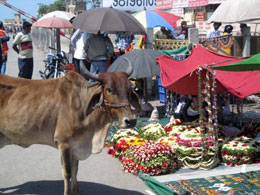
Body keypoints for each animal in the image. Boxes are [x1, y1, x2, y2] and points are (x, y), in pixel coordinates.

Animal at [0, 58, 141, 194]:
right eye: (109, 89)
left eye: (129, 89)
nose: (130, 121)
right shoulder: (64, 144)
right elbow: (67, 173)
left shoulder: (76, 145)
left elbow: (75, 170)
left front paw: (76, 192)